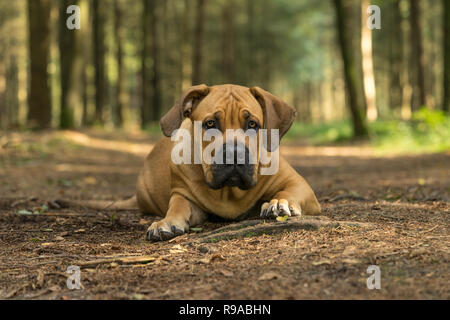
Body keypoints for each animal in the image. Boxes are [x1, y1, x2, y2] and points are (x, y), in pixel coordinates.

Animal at [64, 84, 324, 241]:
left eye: (252, 124)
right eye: (210, 124)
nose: (234, 153)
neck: (229, 192)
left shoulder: (299, 185)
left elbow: (288, 192)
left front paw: (279, 202)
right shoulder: (184, 195)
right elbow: (178, 207)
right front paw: (166, 223)